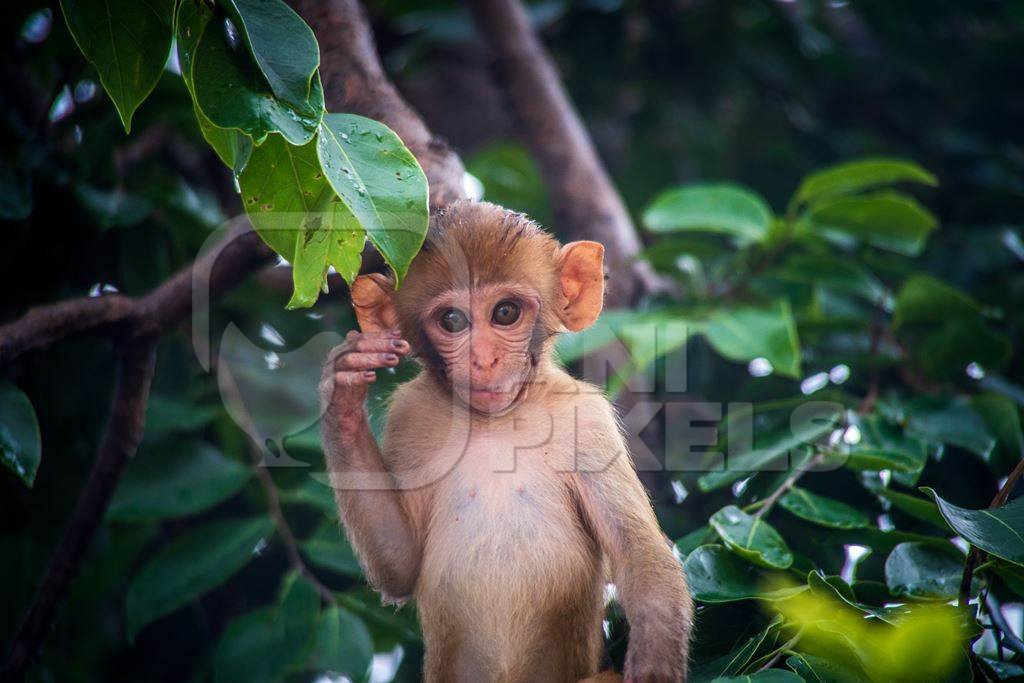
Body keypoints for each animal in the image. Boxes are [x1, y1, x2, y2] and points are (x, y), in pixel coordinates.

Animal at [315, 202, 692, 683]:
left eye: (506, 313)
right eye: (452, 321)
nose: (483, 360)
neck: (495, 422)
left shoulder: (587, 421)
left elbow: (640, 555)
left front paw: (653, 669)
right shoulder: (409, 416)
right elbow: (400, 565)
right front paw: (342, 396)